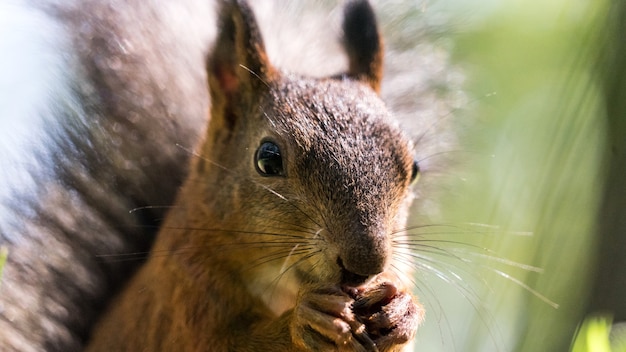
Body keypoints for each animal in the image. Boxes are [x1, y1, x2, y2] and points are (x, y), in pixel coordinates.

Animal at [84, 1, 424, 350]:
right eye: (267, 160)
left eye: (414, 169)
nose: (364, 266)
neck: (280, 284)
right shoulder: (180, 294)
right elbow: (220, 343)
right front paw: (306, 319)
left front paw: (401, 312)